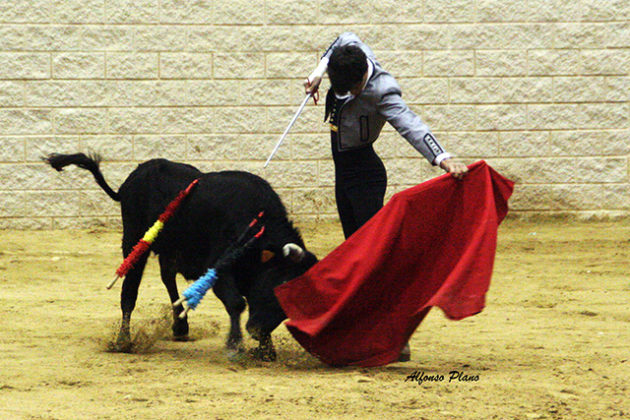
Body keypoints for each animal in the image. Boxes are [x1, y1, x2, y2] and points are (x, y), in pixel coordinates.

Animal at [46, 154, 318, 360]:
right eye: (279, 284)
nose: (255, 330)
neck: (258, 223)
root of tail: (129, 182)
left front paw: (266, 350)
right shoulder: (219, 266)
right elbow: (237, 302)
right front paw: (235, 345)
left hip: (168, 250)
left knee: (167, 278)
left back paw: (180, 326)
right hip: (134, 239)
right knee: (129, 291)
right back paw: (123, 341)